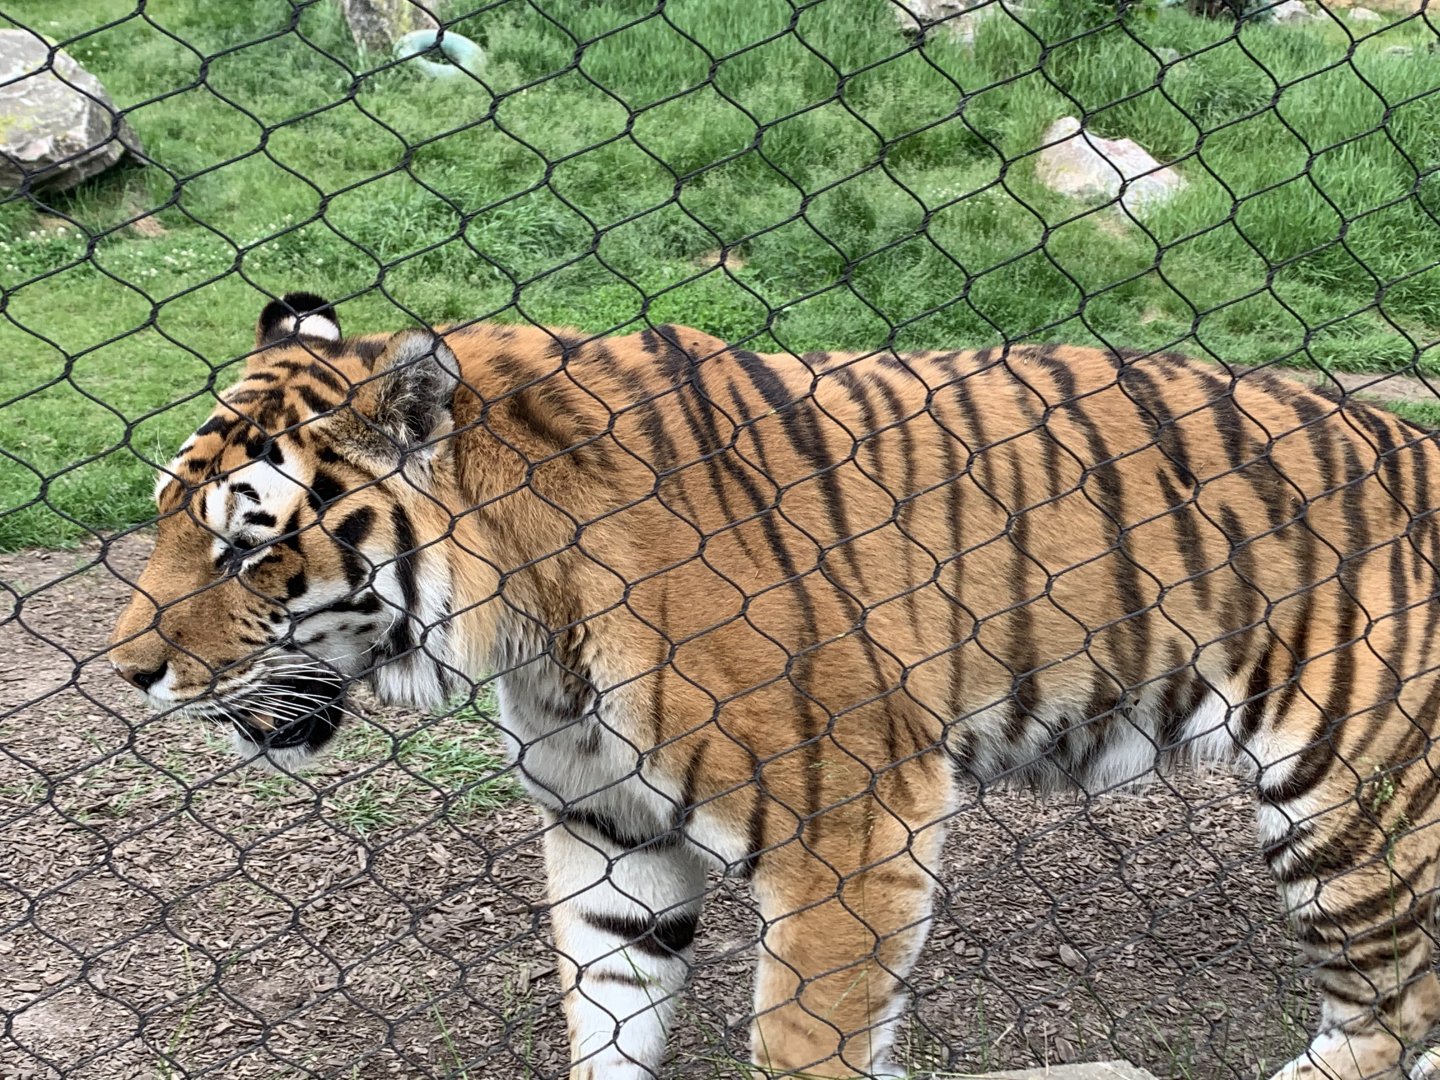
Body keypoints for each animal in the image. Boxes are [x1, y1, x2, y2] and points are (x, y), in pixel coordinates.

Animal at [109, 291, 1440, 1080]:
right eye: (167, 517)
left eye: (246, 549)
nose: (133, 672)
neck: (527, 620)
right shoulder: (610, 831)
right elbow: (611, 1010)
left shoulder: (851, 835)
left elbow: (804, 1042)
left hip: (1351, 809)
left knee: (1392, 1011)